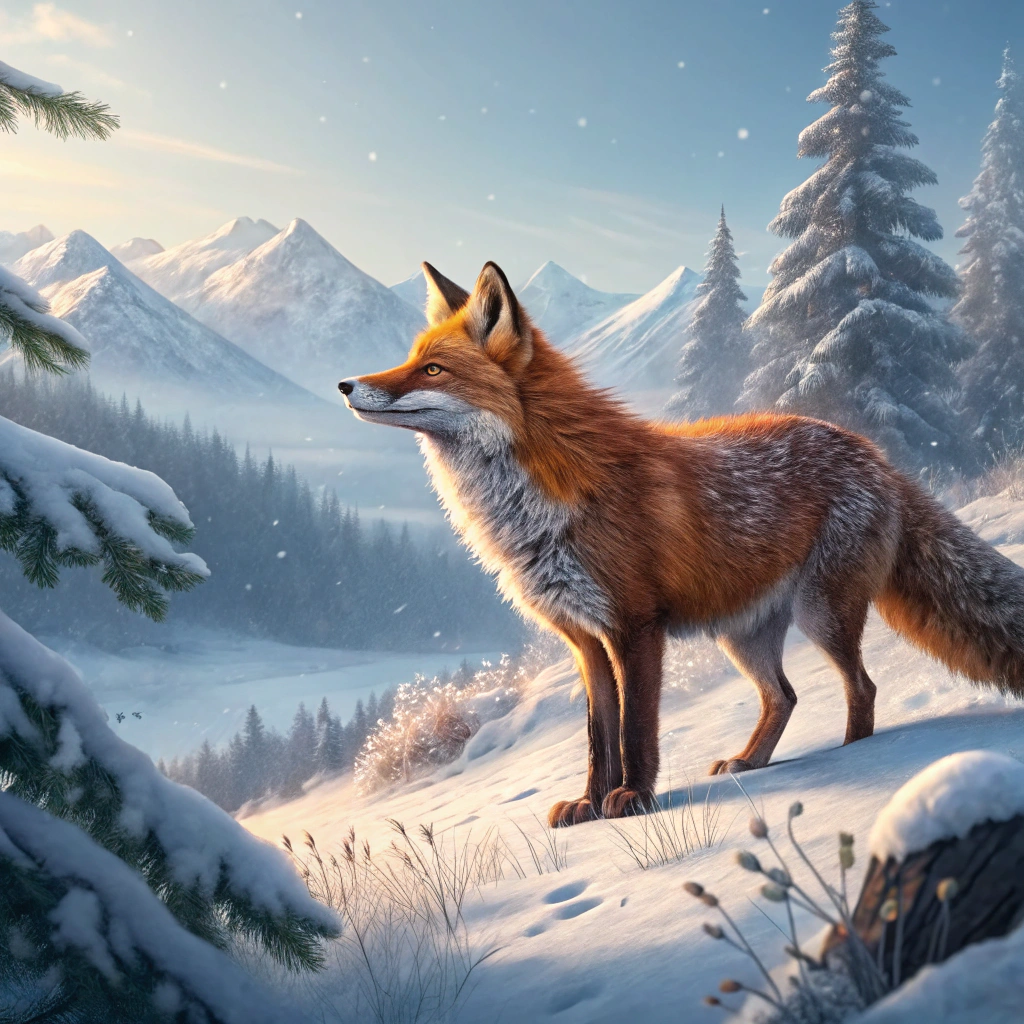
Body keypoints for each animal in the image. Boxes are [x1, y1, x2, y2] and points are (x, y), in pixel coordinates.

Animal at [338, 260, 1024, 828]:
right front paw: (589, 804)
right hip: (742, 635)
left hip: (821, 615)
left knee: (862, 687)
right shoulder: (585, 641)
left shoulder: (635, 626)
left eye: (432, 369)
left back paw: (855, 754)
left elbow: (637, 730)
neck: (538, 504)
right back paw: (750, 764)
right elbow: (599, 737)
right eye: (410, 358)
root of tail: (874, 454)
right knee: (784, 696)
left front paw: (634, 799)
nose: (346, 385)